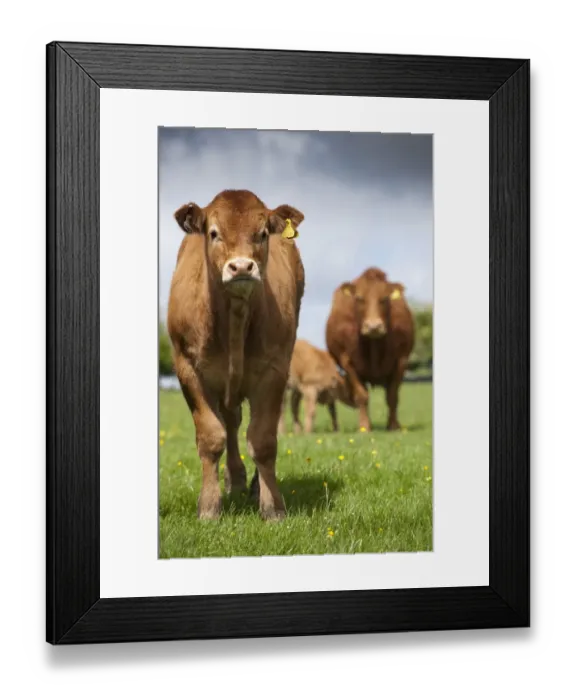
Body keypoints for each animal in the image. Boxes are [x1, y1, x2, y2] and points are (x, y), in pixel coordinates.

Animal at [167, 189, 306, 521]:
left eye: (263, 233)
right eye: (214, 233)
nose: (241, 267)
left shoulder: (274, 370)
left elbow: (263, 439)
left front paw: (272, 507)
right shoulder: (187, 368)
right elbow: (211, 436)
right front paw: (209, 507)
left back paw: (252, 485)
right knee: (230, 422)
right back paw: (234, 479)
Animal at [325, 267, 415, 432]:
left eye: (384, 298)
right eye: (360, 298)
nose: (374, 326)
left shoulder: (401, 360)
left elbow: (392, 396)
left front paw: (393, 425)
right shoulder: (348, 363)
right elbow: (362, 395)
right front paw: (364, 426)